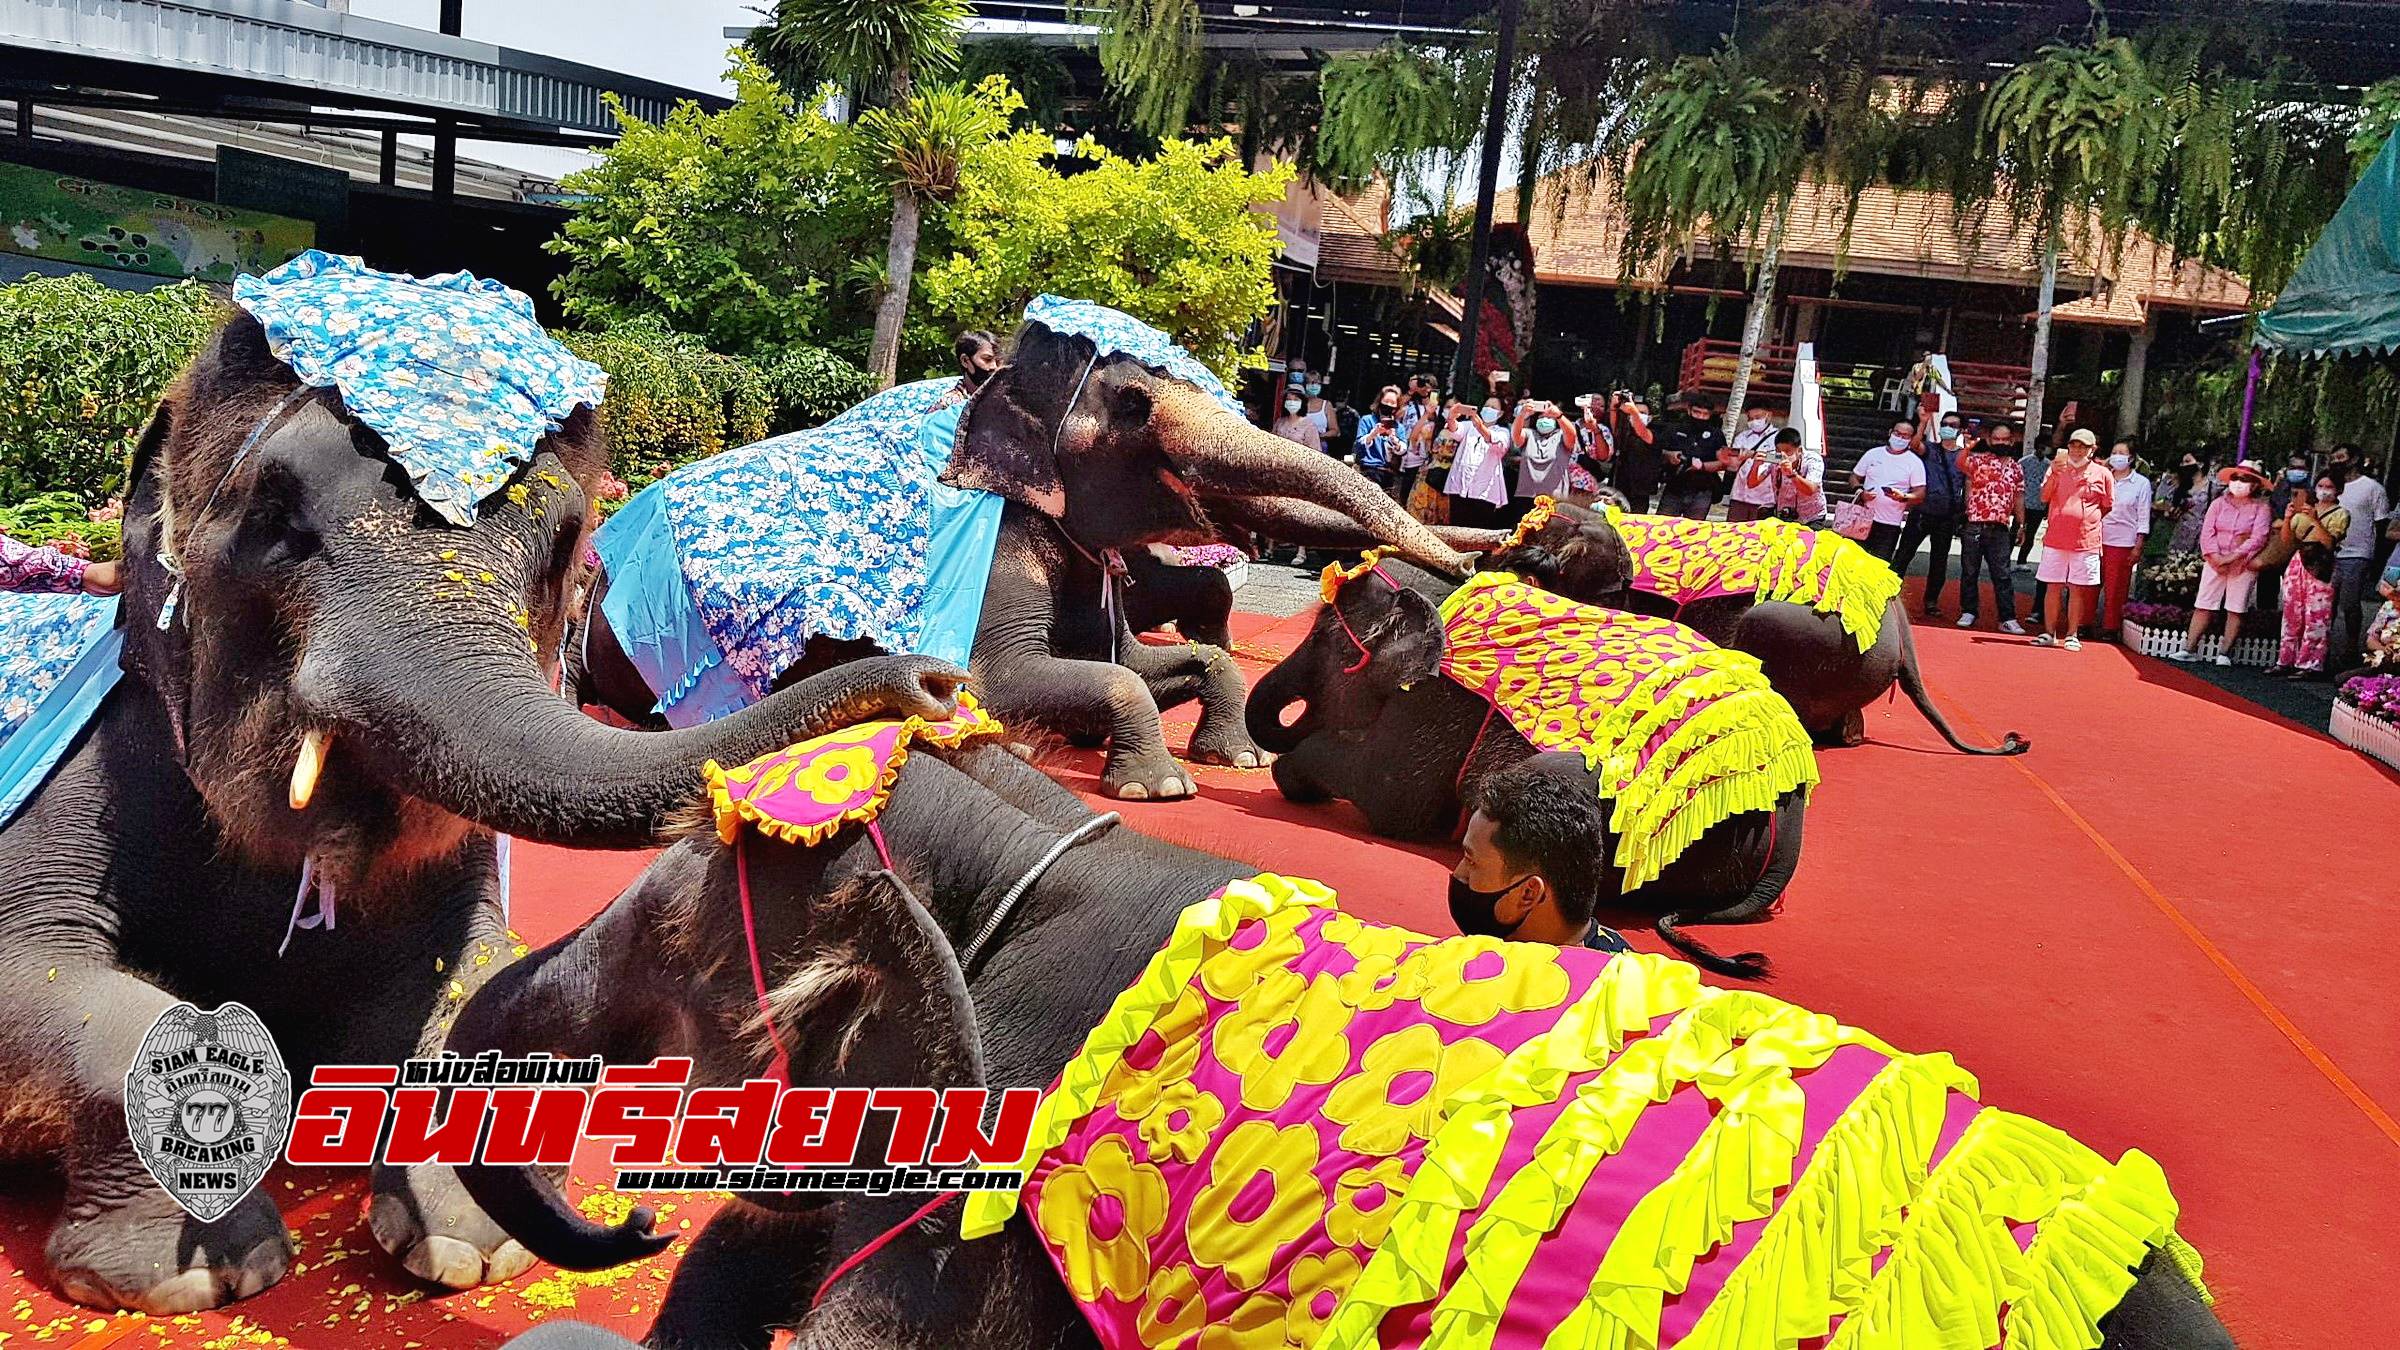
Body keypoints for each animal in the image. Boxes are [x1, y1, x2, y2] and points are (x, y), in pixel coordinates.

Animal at [0, 257, 960, 1306]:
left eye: (565, 544)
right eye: (273, 522)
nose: (933, 683)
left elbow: (473, 969)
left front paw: (469, 1249)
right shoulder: (80, 785)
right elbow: (47, 974)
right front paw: (196, 1280)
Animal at [571, 294, 1468, 792]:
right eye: (1135, 404)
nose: (1472, 559)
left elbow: (1145, 662)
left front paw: (1232, 763)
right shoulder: (999, 553)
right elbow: (1015, 682)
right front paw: (1158, 789)